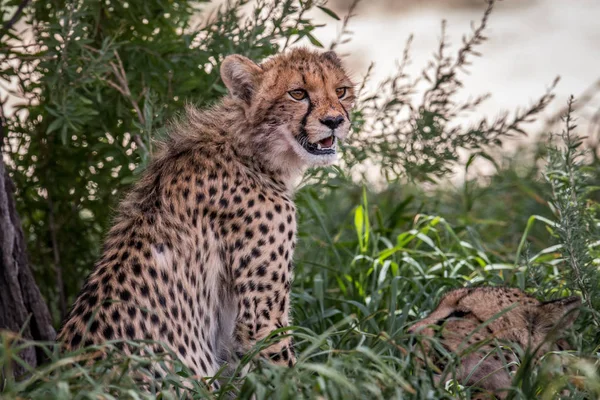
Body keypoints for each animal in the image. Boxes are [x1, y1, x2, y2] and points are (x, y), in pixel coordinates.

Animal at [58, 48, 354, 382]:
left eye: (341, 91)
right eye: (298, 93)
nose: (335, 120)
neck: (248, 149)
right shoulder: (260, 320)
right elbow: (284, 371)